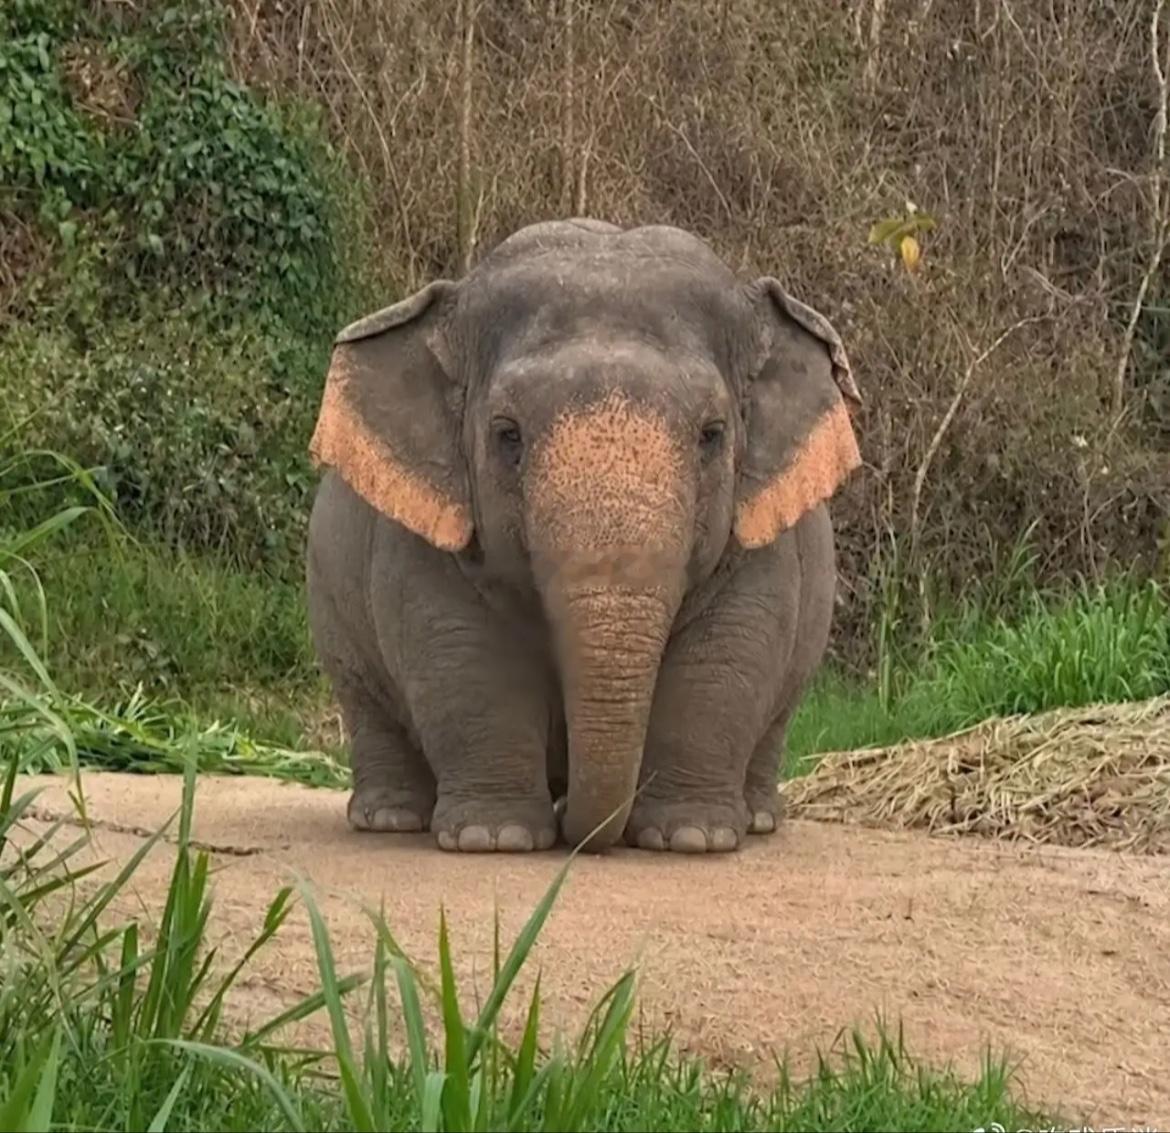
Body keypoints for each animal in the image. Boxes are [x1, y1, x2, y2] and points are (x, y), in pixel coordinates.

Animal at [304, 218, 861, 855]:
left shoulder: (757, 534)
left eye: (713, 434)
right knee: (366, 701)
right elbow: (464, 655)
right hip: (331, 603)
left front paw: (692, 837)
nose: (577, 823)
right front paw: (493, 837)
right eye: (507, 435)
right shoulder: (426, 536)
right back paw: (390, 819)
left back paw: (760, 819)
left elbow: (724, 657)